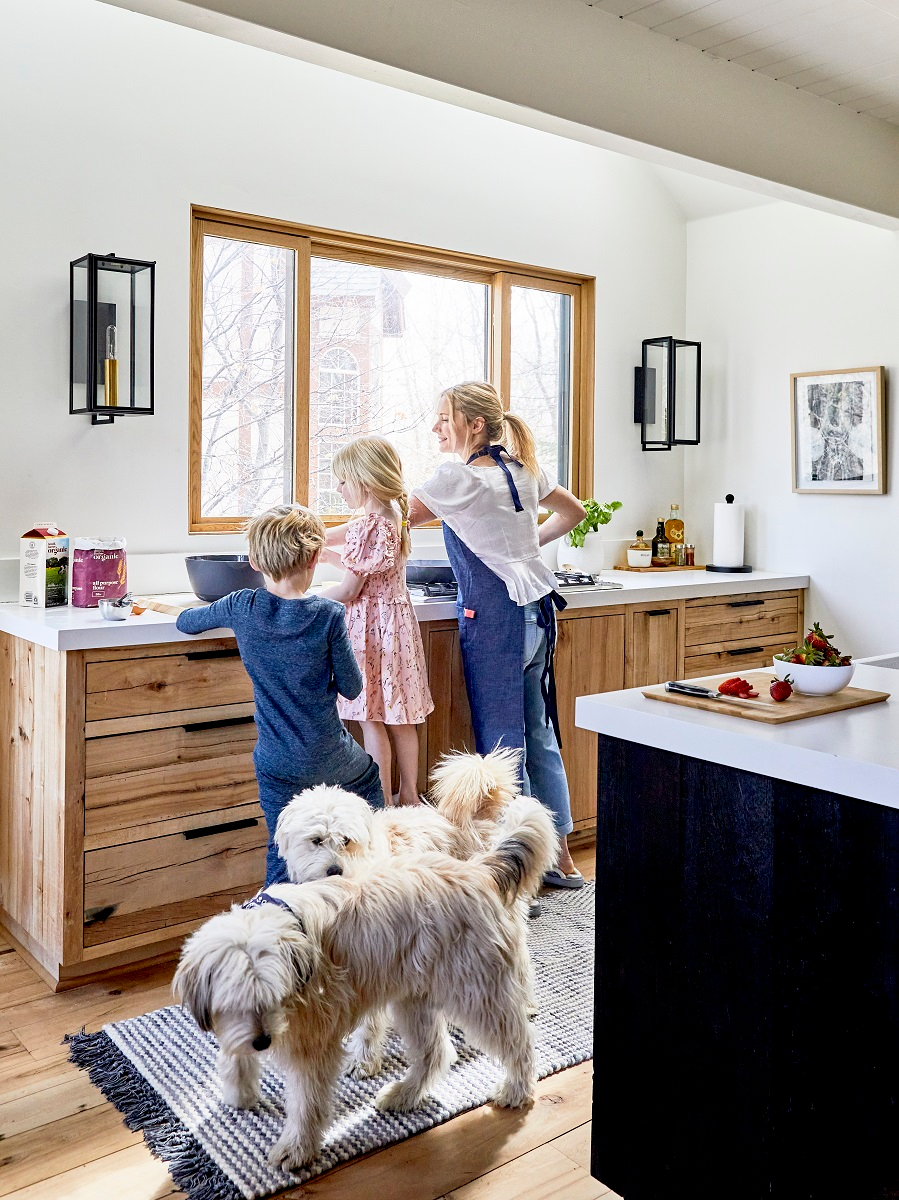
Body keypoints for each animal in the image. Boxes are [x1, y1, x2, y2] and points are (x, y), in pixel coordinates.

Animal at [171, 796, 556, 1171]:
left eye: (275, 996)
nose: (263, 1041)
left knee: (519, 1040)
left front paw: (297, 1148)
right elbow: (232, 1054)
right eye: (234, 1002)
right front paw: (239, 1091)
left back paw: (516, 1089)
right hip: (414, 999)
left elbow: (306, 1102)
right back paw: (404, 1095)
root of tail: (478, 869)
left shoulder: (314, 1043)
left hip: (476, 993)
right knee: (435, 1053)